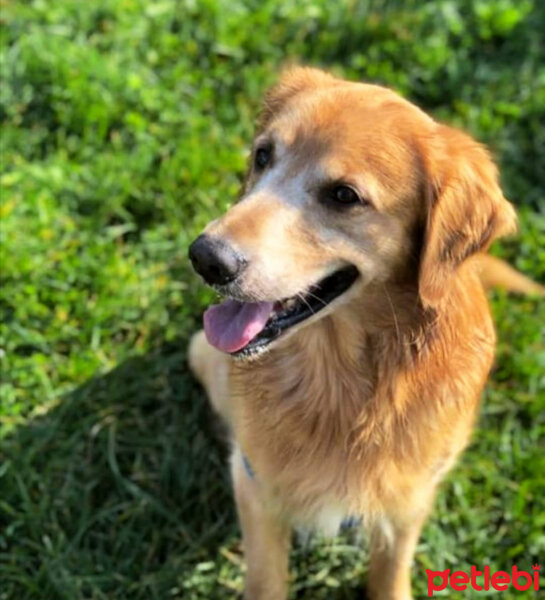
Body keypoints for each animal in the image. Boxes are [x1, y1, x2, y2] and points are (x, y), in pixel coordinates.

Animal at [186, 68, 540, 596]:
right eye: (263, 155)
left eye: (344, 196)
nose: (206, 257)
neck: (345, 386)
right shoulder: (256, 489)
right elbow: (267, 580)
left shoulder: (409, 503)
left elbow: (390, 576)